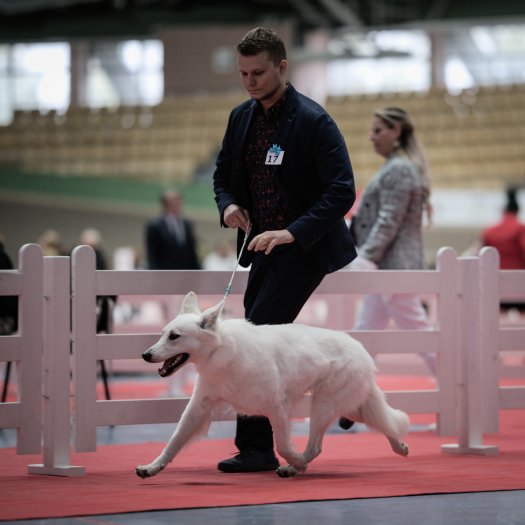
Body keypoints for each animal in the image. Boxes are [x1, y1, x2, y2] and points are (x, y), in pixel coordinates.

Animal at [136, 290, 410, 478]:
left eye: (174, 337)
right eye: (163, 333)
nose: (145, 355)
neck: (220, 351)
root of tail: (361, 349)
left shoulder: (277, 410)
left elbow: (284, 445)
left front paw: (297, 462)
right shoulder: (197, 409)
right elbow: (173, 441)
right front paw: (152, 468)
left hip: (324, 406)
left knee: (316, 446)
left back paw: (295, 468)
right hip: (349, 408)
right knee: (383, 422)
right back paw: (400, 446)